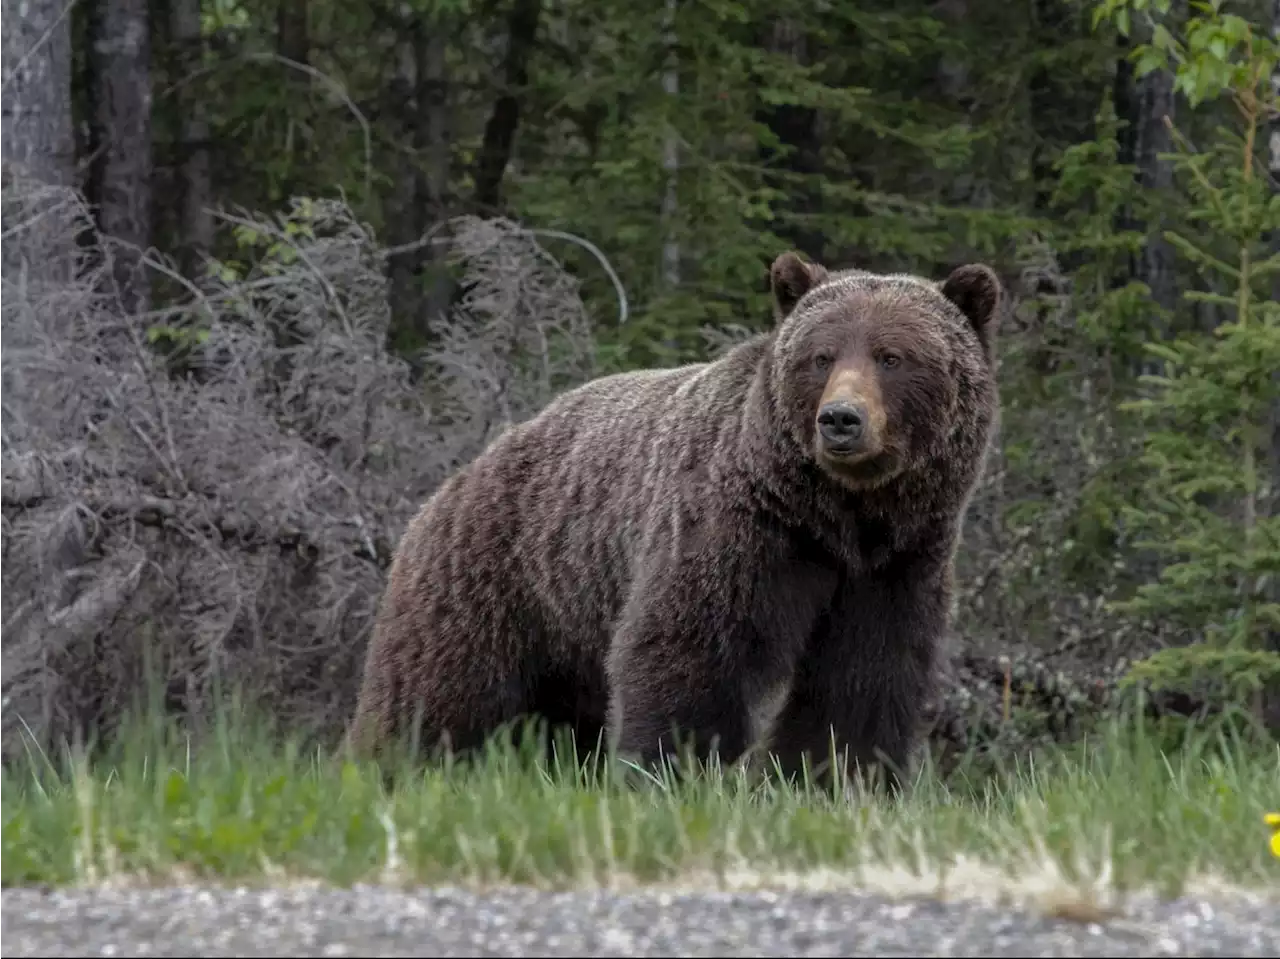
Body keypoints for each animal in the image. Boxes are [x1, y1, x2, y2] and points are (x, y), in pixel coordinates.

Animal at [348, 248, 998, 793]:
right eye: (822, 356)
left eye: (892, 357)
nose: (840, 419)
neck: (839, 517)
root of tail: (458, 478)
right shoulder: (738, 527)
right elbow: (690, 646)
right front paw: (672, 770)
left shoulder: (896, 564)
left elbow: (863, 675)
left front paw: (837, 779)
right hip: (494, 578)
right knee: (435, 691)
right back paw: (387, 768)